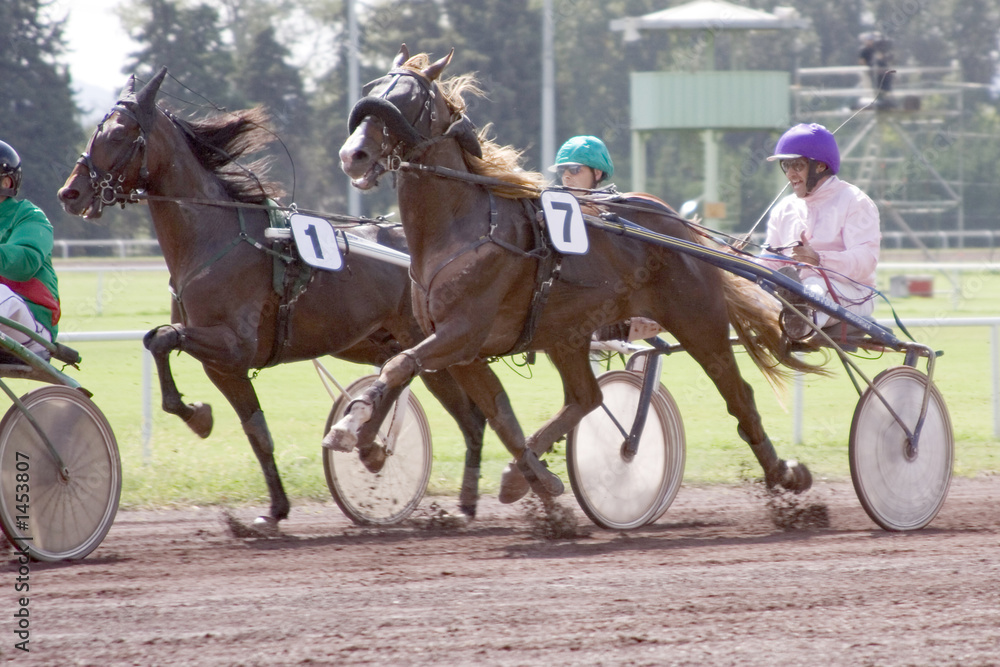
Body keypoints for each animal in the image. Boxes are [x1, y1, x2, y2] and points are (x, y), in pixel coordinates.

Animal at [57, 66, 488, 528]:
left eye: (120, 133)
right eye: (97, 130)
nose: (70, 193)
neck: (214, 238)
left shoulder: (234, 344)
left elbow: (162, 337)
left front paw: (198, 417)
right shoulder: (224, 366)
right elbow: (256, 432)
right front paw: (273, 510)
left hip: (430, 340)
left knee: (469, 415)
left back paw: (454, 494)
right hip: (374, 343)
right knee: (427, 392)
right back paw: (382, 450)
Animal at [330, 47, 828, 516]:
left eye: (407, 99)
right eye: (372, 89)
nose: (352, 155)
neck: (460, 228)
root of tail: (676, 224)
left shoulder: (463, 331)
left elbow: (400, 366)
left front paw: (351, 425)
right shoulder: (459, 346)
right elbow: (492, 410)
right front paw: (535, 479)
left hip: (697, 320)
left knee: (738, 394)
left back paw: (784, 475)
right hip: (565, 334)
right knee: (586, 397)